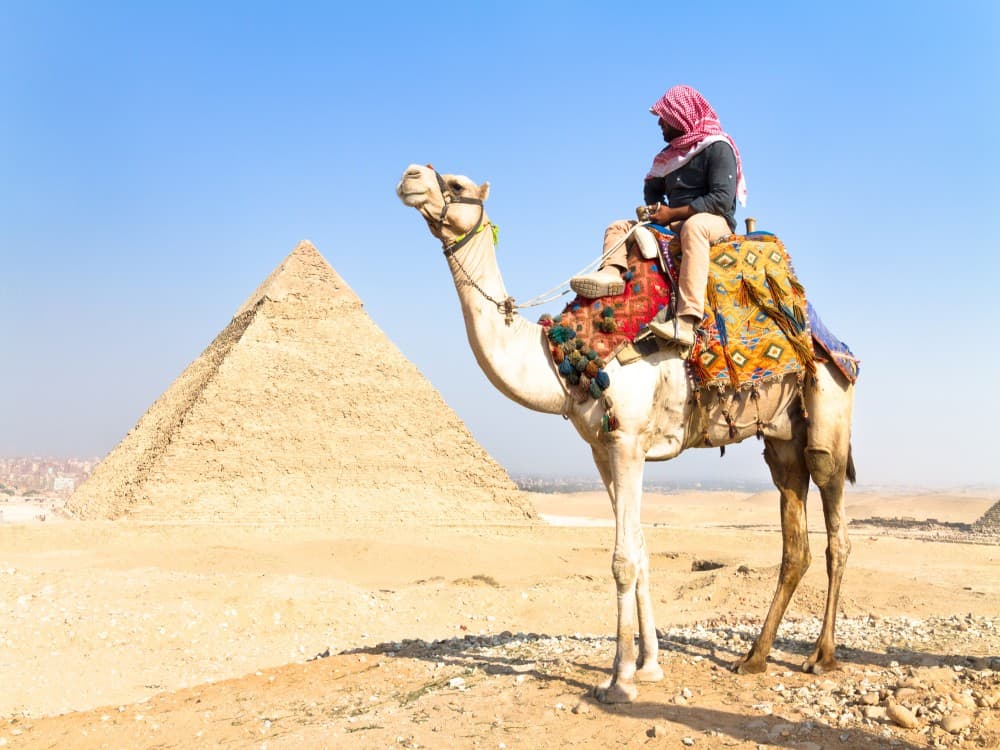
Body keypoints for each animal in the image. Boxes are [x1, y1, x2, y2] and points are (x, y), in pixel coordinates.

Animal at [397, 163, 856, 703]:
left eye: (458, 185)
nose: (410, 176)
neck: (564, 357)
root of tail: (832, 340)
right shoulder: (603, 449)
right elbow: (639, 550)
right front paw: (649, 665)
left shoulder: (629, 442)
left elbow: (622, 560)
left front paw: (620, 680)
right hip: (782, 438)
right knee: (793, 536)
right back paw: (754, 658)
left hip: (829, 407)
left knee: (834, 524)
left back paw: (821, 656)